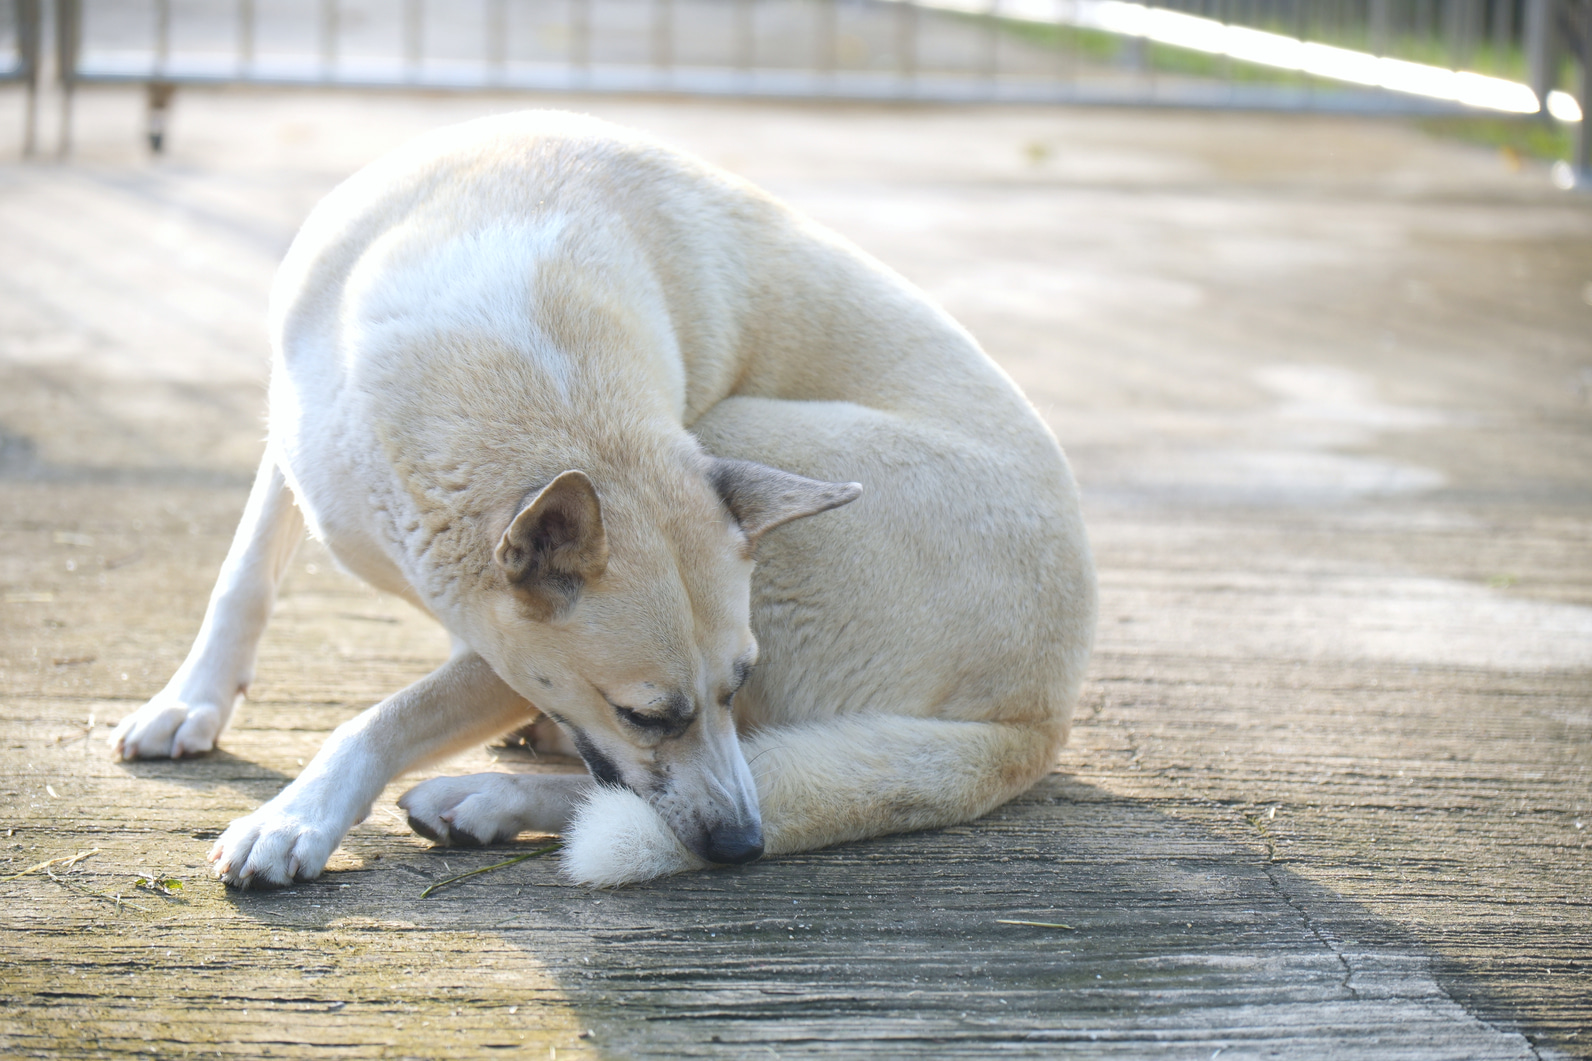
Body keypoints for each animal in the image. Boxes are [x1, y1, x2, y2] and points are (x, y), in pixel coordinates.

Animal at [109, 109, 1095, 885]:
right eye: (645, 714)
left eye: (739, 680)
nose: (742, 847)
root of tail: (1039, 717)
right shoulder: (297, 437)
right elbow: (242, 577)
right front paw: (188, 701)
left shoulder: (501, 635)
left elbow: (391, 713)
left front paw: (296, 814)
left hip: (747, 428)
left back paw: (488, 798)